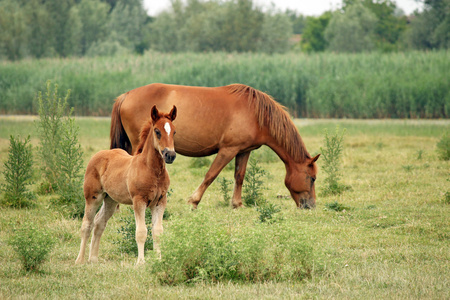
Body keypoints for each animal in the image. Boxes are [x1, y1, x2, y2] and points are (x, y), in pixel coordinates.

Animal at [76, 105, 177, 264]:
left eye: (174, 131)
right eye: (157, 131)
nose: (170, 155)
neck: (152, 170)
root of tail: (98, 155)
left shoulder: (160, 202)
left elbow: (157, 232)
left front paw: (158, 260)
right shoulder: (139, 201)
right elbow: (141, 232)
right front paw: (140, 263)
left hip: (110, 200)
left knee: (99, 223)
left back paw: (93, 259)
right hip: (93, 197)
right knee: (87, 224)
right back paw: (80, 260)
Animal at [110, 83, 318, 210]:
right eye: (312, 178)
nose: (311, 205)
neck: (256, 113)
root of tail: (126, 95)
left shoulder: (243, 151)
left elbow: (239, 176)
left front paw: (237, 204)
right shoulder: (228, 150)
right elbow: (211, 175)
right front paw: (194, 201)